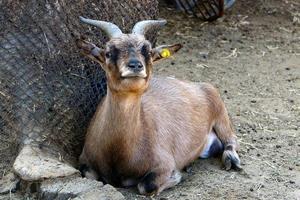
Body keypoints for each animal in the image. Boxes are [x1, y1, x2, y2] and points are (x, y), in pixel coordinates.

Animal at [77, 17, 241, 195]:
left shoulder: (164, 164)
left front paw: (176, 176)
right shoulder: (85, 160)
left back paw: (231, 160)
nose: (135, 65)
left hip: (221, 116)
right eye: (108, 53)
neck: (118, 151)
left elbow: (146, 185)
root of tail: (201, 86)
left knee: (231, 138)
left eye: (148, 52)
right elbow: (89, 174)